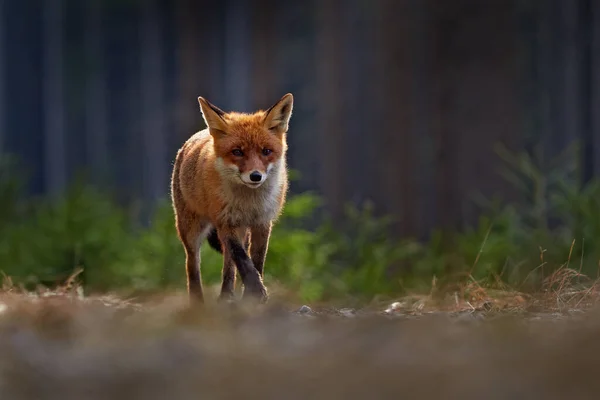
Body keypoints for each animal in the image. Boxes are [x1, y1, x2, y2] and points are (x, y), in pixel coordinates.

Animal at [170, 93, 294, 304]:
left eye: (266, 151)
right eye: (237, 152)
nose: (255, 176)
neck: (249, 203)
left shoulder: (262, 223)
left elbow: (256, 262)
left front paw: (250, 298)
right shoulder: (225, 221)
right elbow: (243, 261)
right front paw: (257, 292)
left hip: (239, 230)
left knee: (228, 265)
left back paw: (226, 296)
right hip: (191, 229)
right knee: (192, 265)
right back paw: (198, 303)